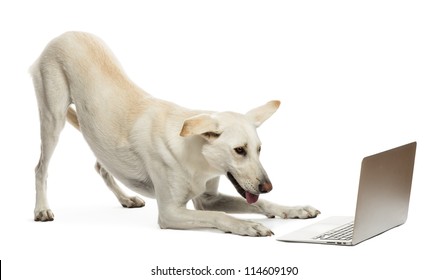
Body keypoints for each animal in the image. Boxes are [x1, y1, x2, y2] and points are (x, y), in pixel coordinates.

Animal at [30, 31, 318, 236]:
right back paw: (42, 209)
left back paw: (126, 198)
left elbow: (258, 204)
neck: (197, 157)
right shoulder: (170, 213)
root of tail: (66, 33)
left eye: (259, 149)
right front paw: (248, 226)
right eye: (239, 150)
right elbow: (220, 216)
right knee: (40, 167)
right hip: (52, 117)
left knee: (102, 167)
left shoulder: (208, 199)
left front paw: (294, 209)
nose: (267, 186)